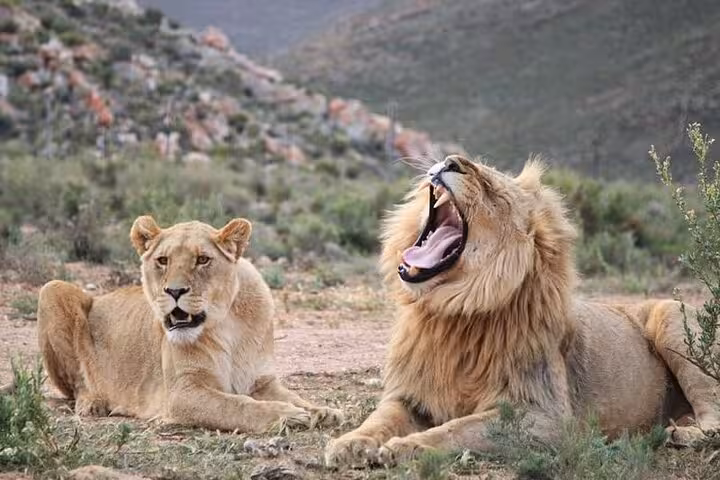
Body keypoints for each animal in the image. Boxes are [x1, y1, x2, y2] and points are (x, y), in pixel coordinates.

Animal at [36, 216, 342, 432]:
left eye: (203, 259)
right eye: (163, 260)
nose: (174, 291)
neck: (225, 322)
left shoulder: (261, 381)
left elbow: (292, 396)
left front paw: (321, 411)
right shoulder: (182, 392)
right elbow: (236, 405)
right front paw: (287, 415)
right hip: (51, 288)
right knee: (76, 386)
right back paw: (93, 402)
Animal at [325, 155, 720, 467]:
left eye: (491, 190)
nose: (450, 161)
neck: (453, 311)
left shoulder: (545, 415)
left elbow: (457, 429)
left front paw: (408, 447)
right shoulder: (410, 394)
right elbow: (380, 418)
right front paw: (349, 443)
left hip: (672, 317)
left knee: (713, 414)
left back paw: (683, 435)